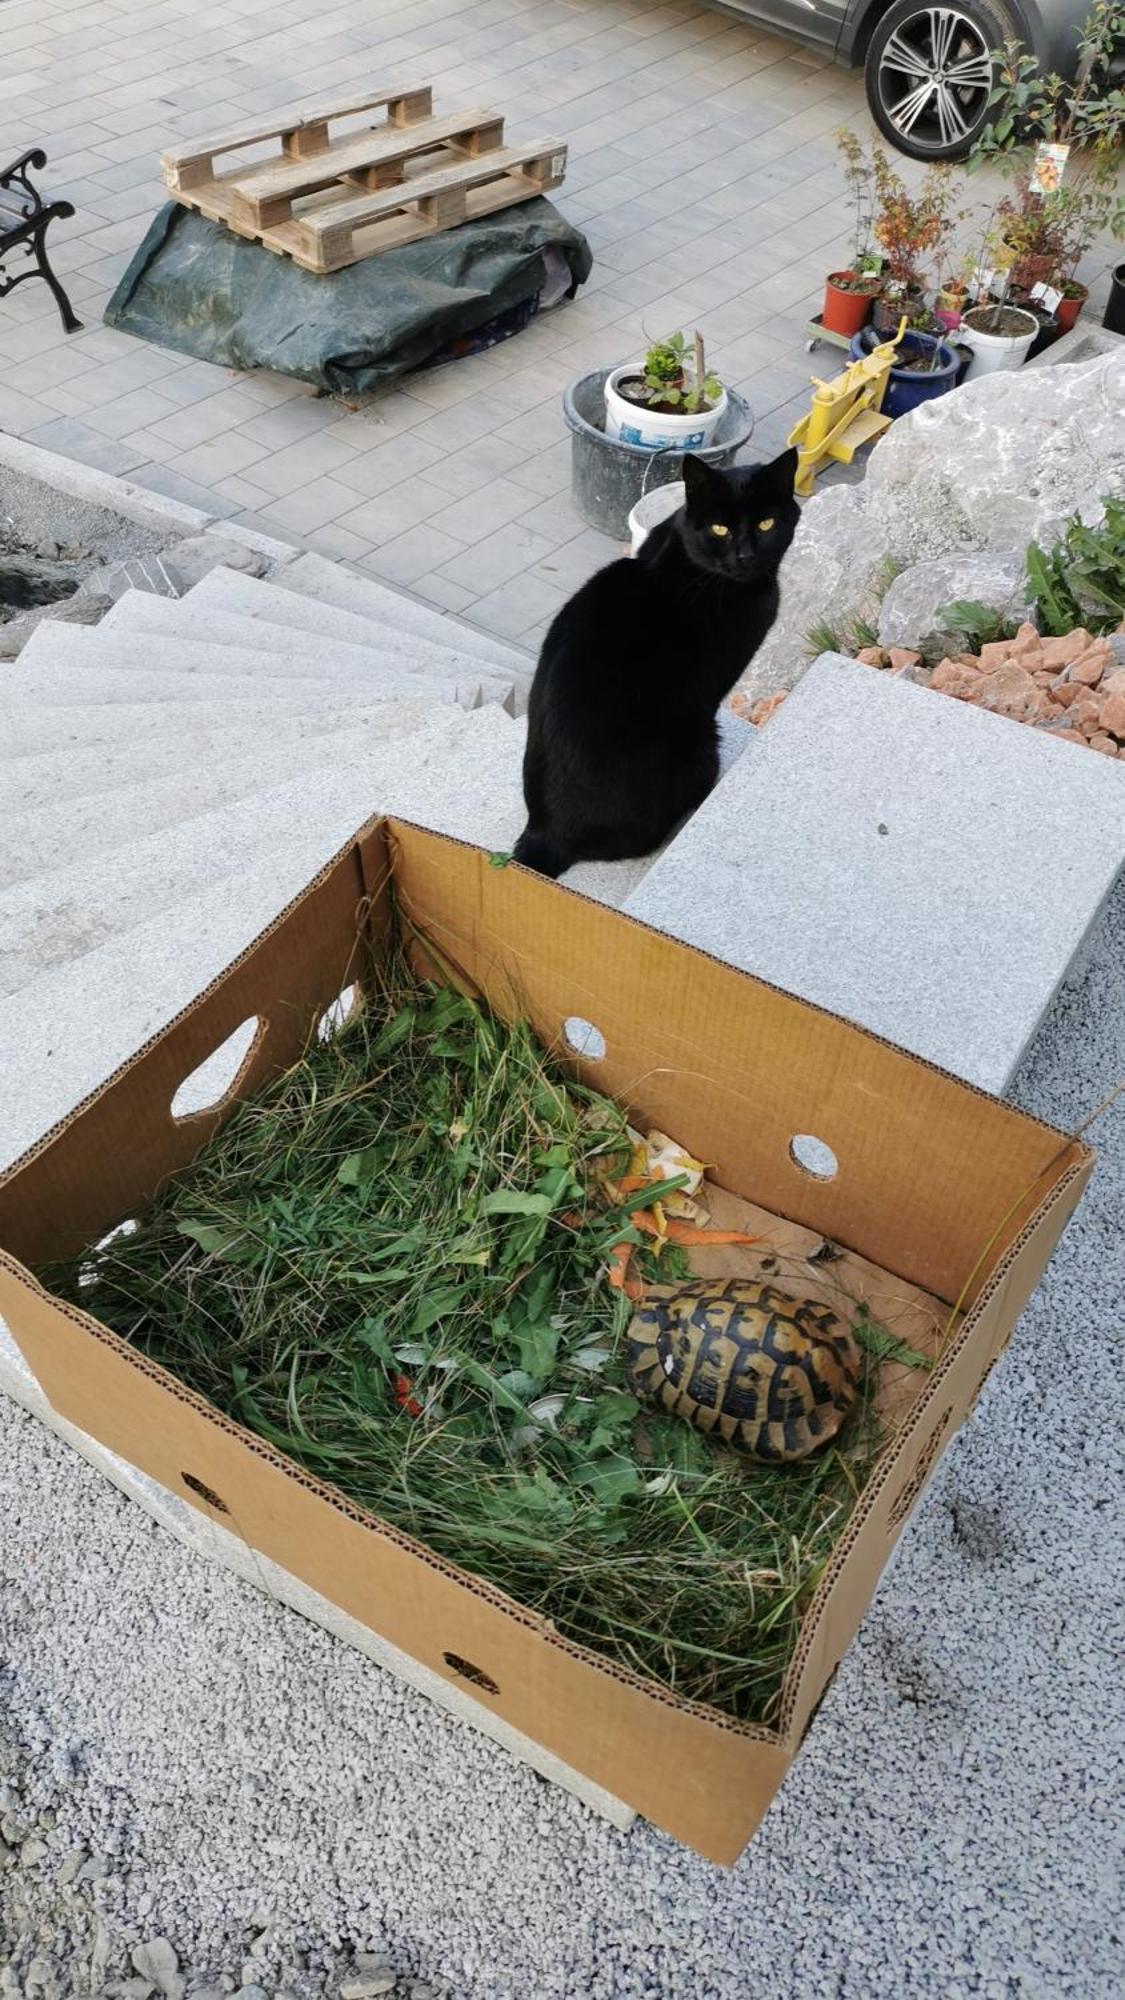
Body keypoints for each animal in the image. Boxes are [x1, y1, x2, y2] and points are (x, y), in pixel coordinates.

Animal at [512, 450, 792, 880]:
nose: (745, 556)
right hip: (703, 744)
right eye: (720, 528)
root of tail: (547, 832)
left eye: (766, 523)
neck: (687, 561)